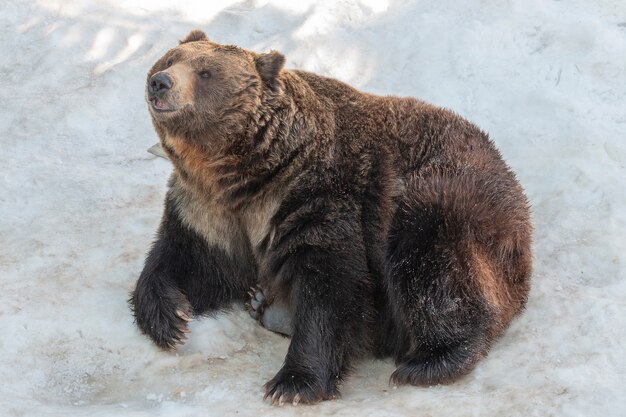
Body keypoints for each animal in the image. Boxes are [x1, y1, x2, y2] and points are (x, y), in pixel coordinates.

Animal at [129, 30, 528, 406]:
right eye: (170, 57)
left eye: (206, 72)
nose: (160, 82)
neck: (241, 174)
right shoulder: (207, 212)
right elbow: (182, 260)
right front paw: (170, 320)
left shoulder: (315, 197)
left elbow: (330, 284)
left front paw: (293, 382)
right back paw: (264, 305)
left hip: (442, 200)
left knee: (436, 270)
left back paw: (430, 361)